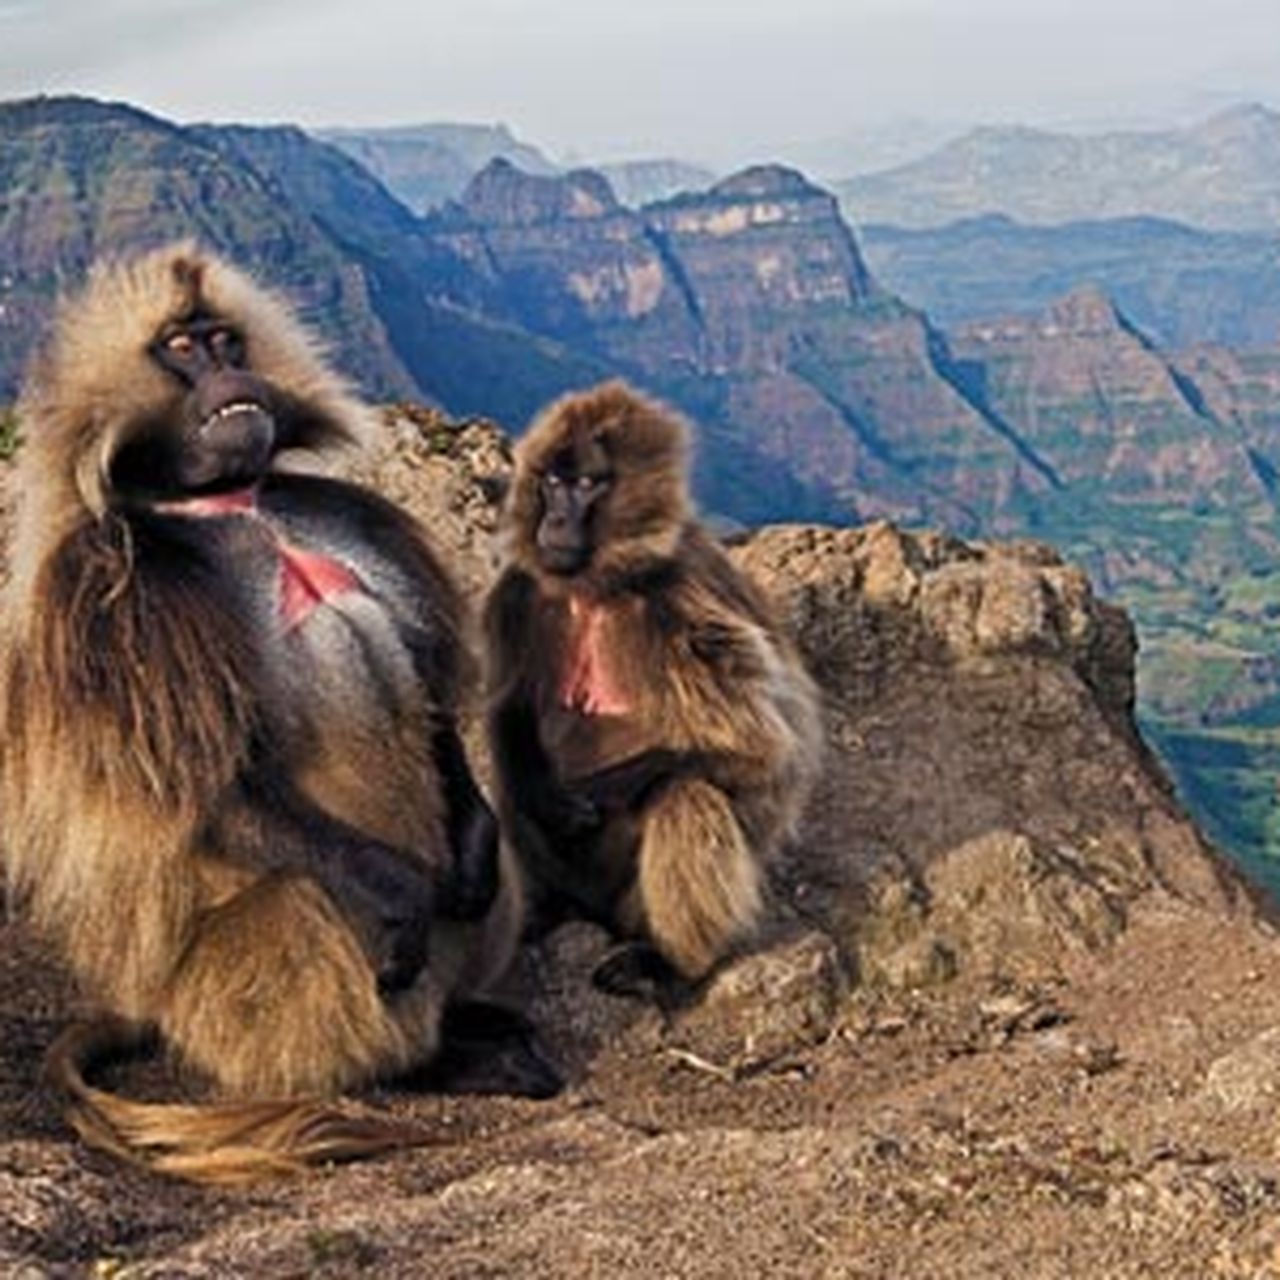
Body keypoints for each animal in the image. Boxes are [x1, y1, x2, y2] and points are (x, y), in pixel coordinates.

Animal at [0, 243, 556, 1185]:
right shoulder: (114, 603)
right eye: (181, 348)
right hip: (221, 995)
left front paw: (473, 855)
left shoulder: (346, 518)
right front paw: (400, 894)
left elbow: (431, 701)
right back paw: (424, 1063)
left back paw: (476, 1020)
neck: (230, 506)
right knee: (311, 902)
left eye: (225, 337)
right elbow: (210, 788)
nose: (231, 373)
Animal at [484, 381, 823, 993]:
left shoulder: (683, 604)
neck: (596, 586)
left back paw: (670, 964)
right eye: (553, 482)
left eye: (588, 484)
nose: (557, 522)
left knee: (684, 793)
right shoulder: (517, 592)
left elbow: (769, 753)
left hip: (622, 899)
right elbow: (510, 709)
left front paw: (597, 791)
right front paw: (548, 793)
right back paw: (539, 915)